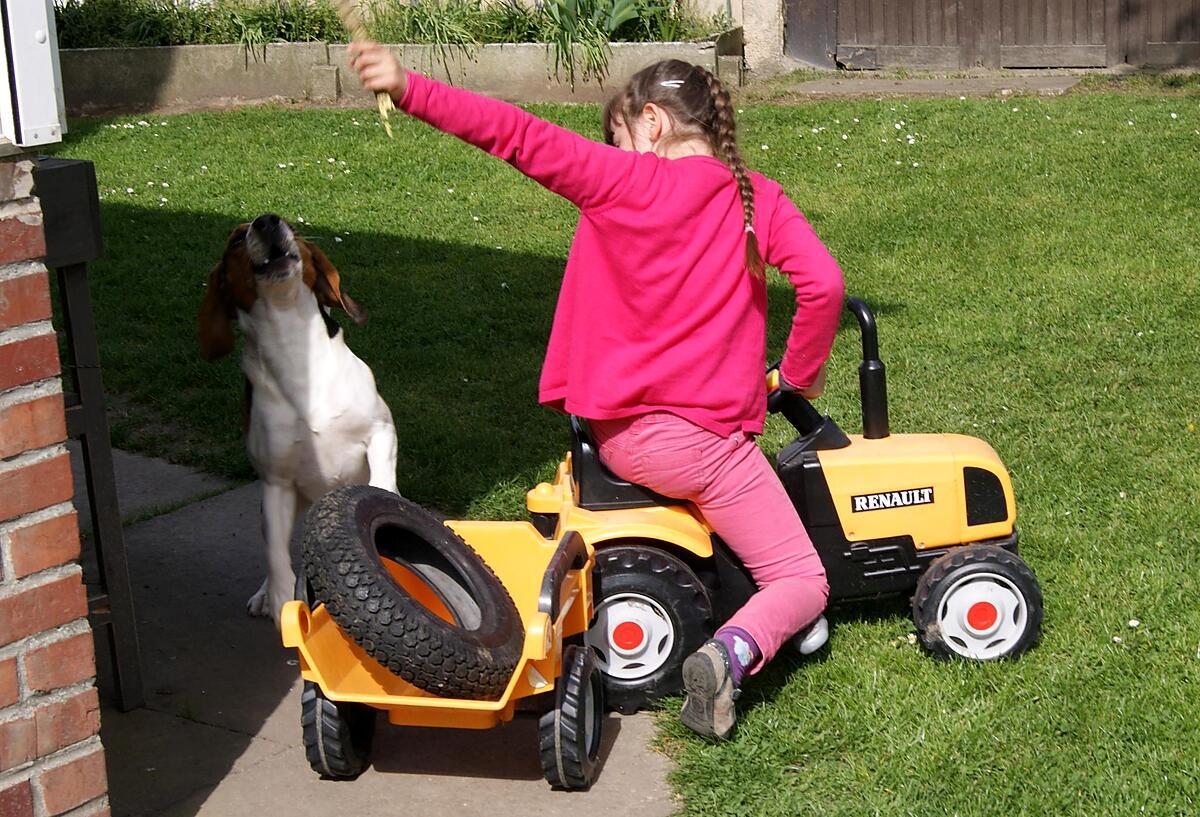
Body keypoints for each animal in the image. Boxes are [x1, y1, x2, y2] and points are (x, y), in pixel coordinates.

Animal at [196, 213, 398, 619]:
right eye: (237, 239)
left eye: (288, 223)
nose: (267, 221)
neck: (293, 346)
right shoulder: (276, 485)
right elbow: (276, 555)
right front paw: (278, 598)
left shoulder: (381, 429)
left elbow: (382, 479)